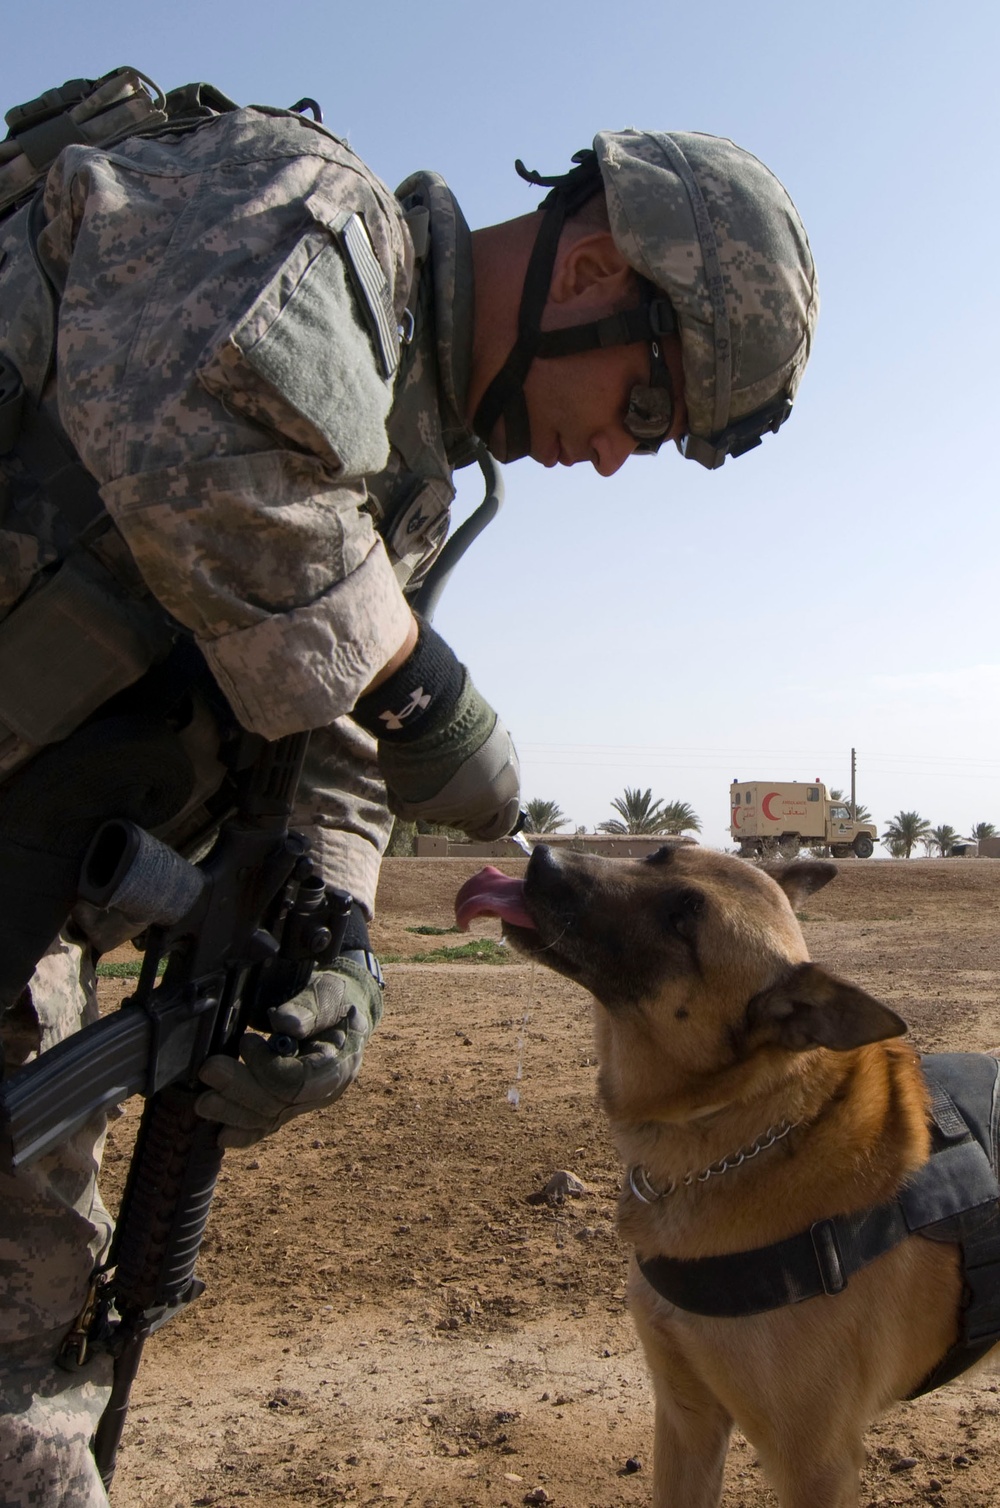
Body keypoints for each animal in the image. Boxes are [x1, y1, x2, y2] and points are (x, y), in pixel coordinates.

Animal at [455, 850, 1000, 1508]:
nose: (542, 858)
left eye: (684, 920)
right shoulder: (686, 1420)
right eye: (660, 854)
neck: (749, 1128)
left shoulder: (815, 1465)